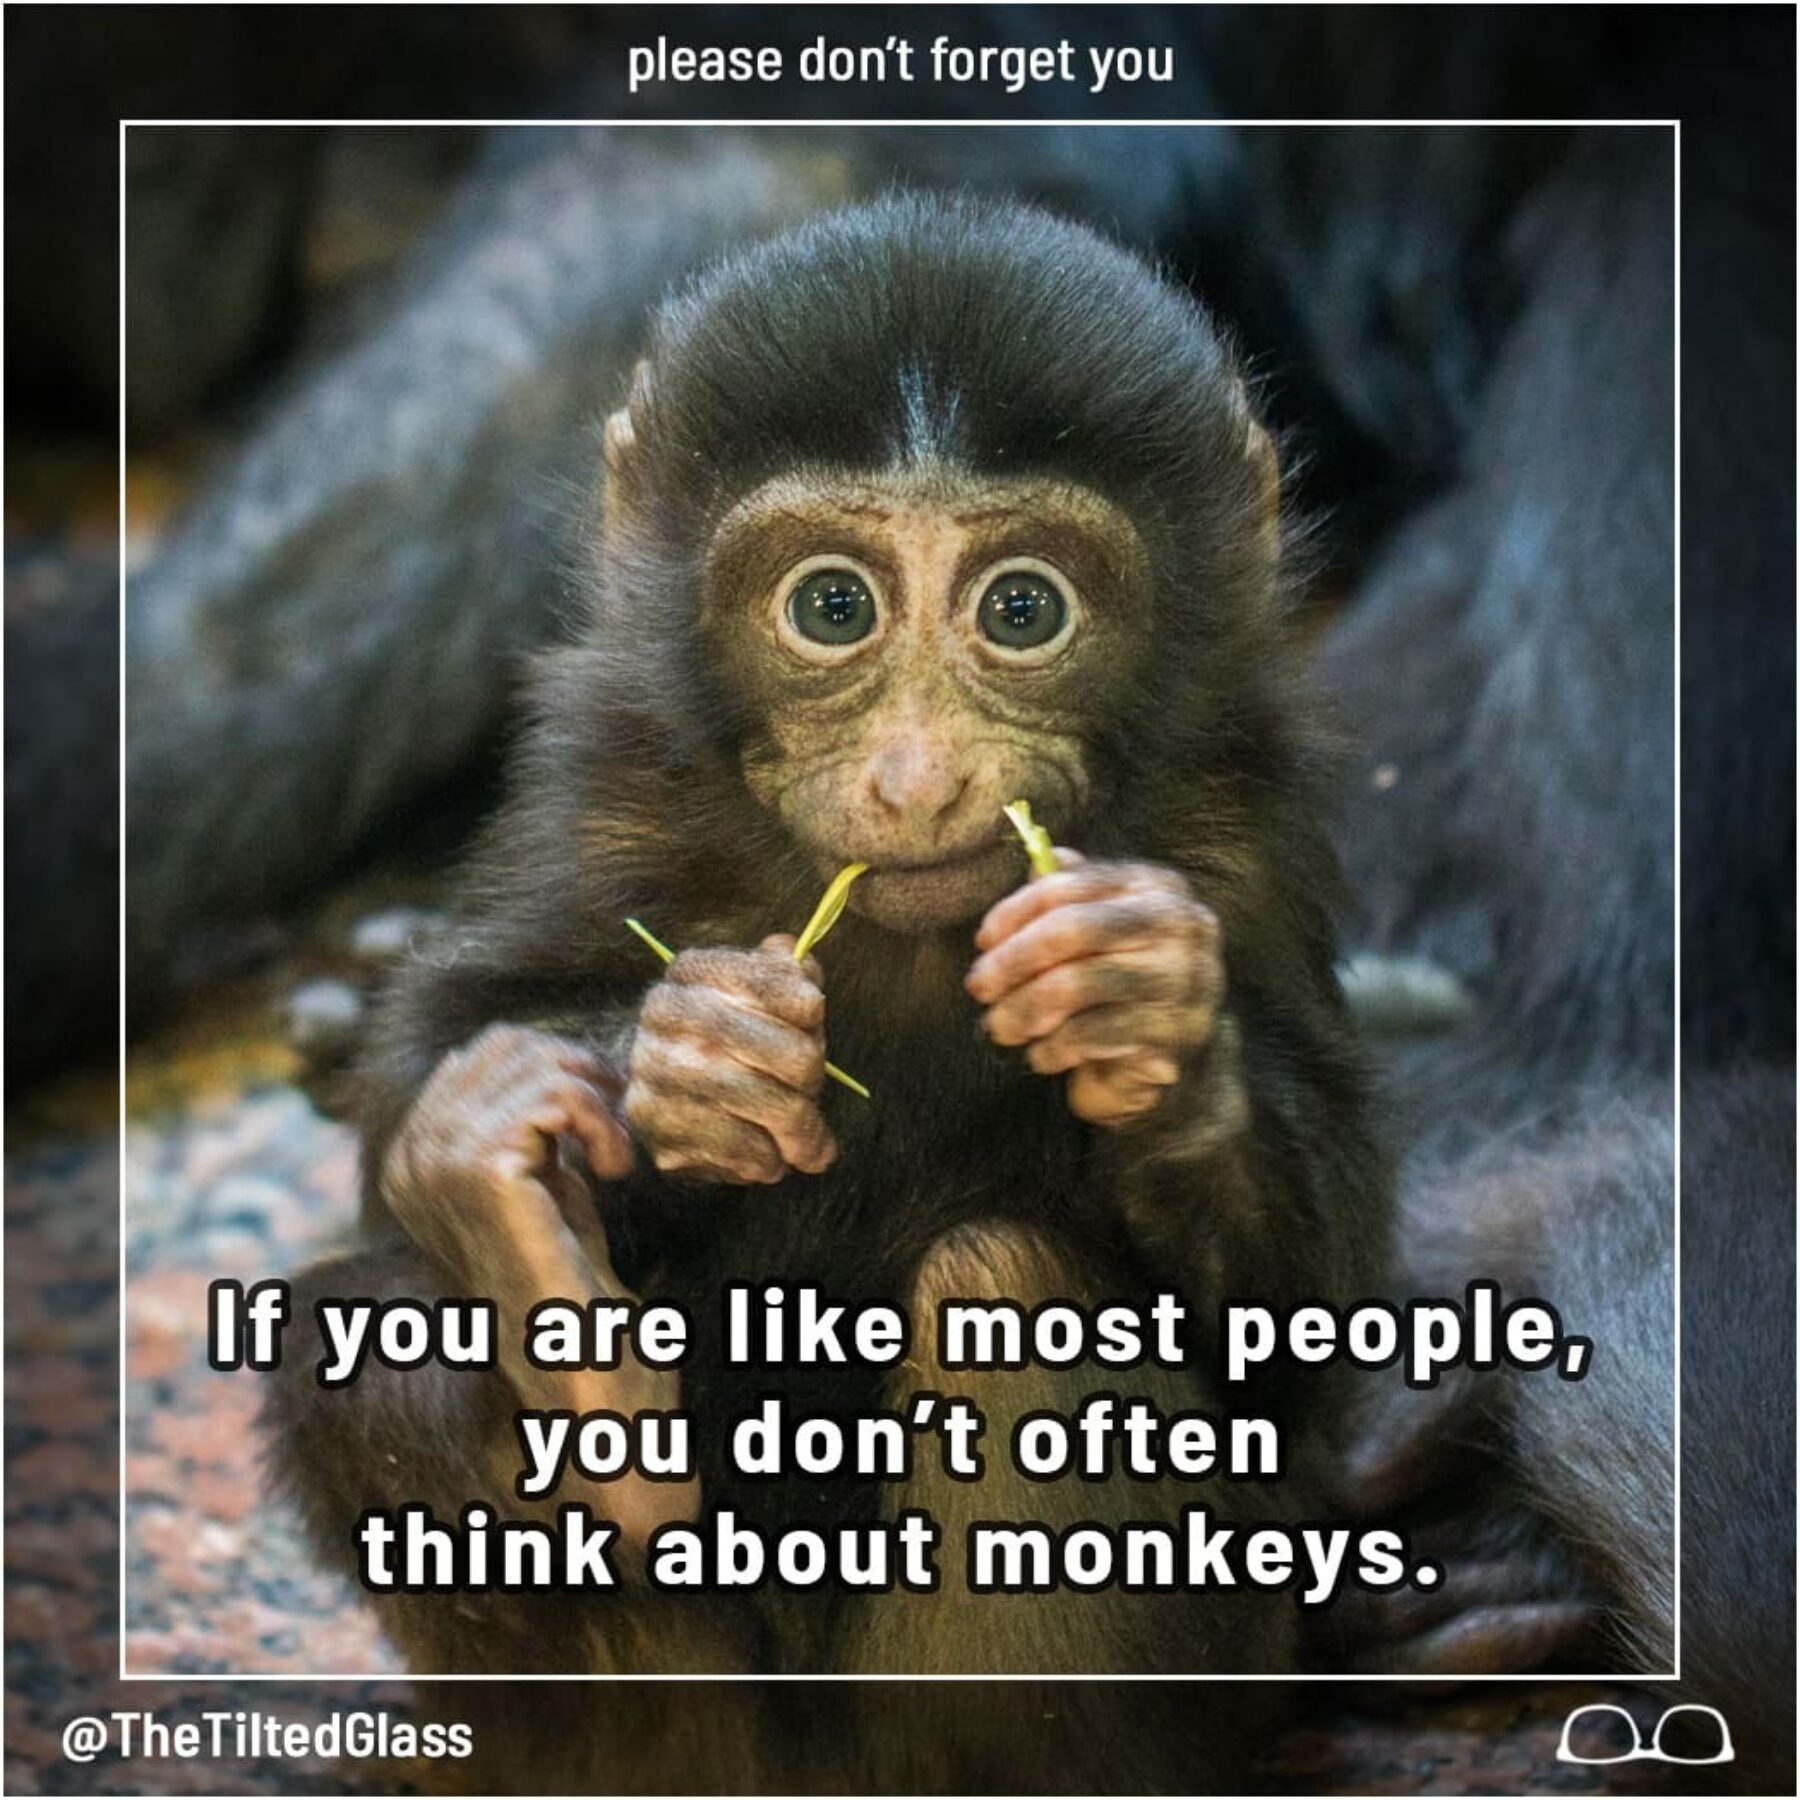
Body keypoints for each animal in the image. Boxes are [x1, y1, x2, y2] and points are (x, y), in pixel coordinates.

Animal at [262, 192, 1389, 1792]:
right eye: (832, 606)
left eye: (1024, 609)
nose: (916, 779)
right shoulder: (603, 765)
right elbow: (426, 1065)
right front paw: (656, 1078)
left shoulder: (1250, 818)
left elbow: (1308, 1343)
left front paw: (1146, 1016)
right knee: (368, 1355)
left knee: (1009, 1297)